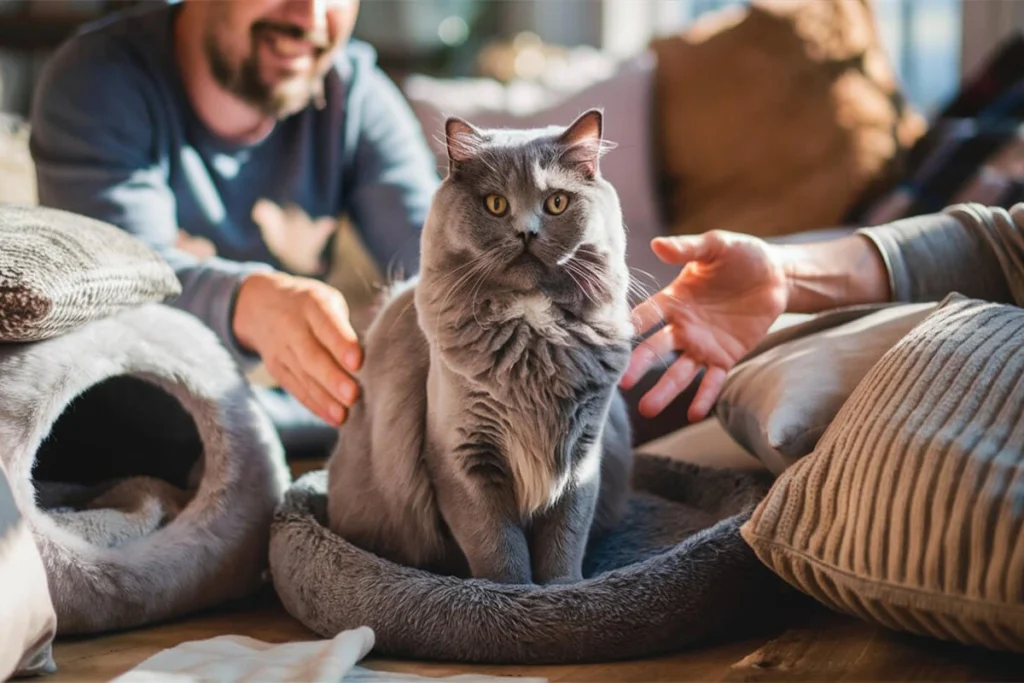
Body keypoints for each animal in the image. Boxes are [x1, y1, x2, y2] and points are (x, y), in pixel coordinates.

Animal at [327, 109, 630, 585]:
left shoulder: (582, 456)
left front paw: (563, 589)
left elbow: (566, 537)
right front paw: (513, 593)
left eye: (556, 203)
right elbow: (498, 548)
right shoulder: (464, 459)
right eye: (496, 204)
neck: (533, 345)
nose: (527, 232)